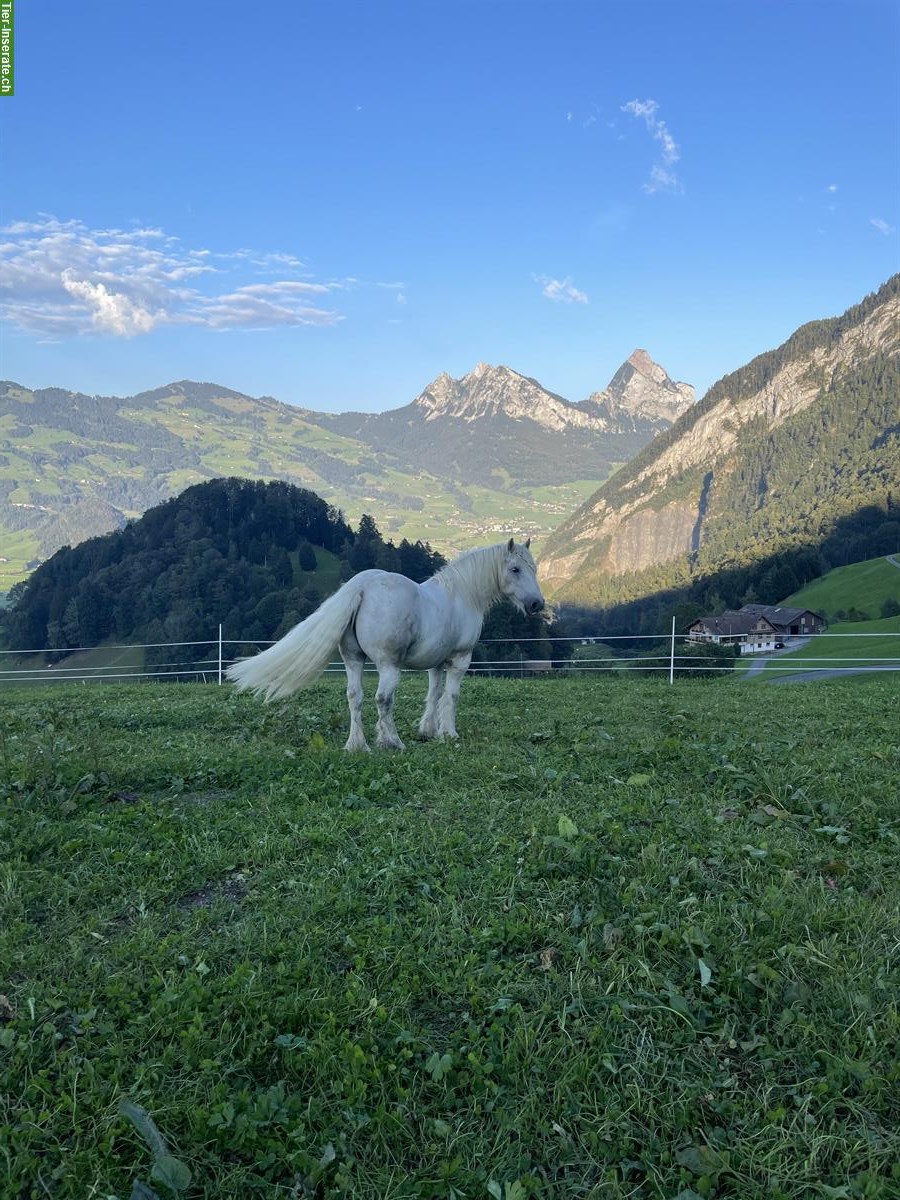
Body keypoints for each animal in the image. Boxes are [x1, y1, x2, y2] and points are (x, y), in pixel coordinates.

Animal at [229, 542, 547, 748]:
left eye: (533, 568)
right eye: (515, 569)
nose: (537, 604)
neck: (461, 595)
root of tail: (363, 585)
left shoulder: (435, 663)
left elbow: (433, 694)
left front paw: (428, 731)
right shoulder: (459, 660)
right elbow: (451, 696)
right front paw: (449, 733)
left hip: (354, 661)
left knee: (354, 697)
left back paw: (358, 745)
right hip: (388, 666)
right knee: (383, 699)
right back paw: (391, 742)